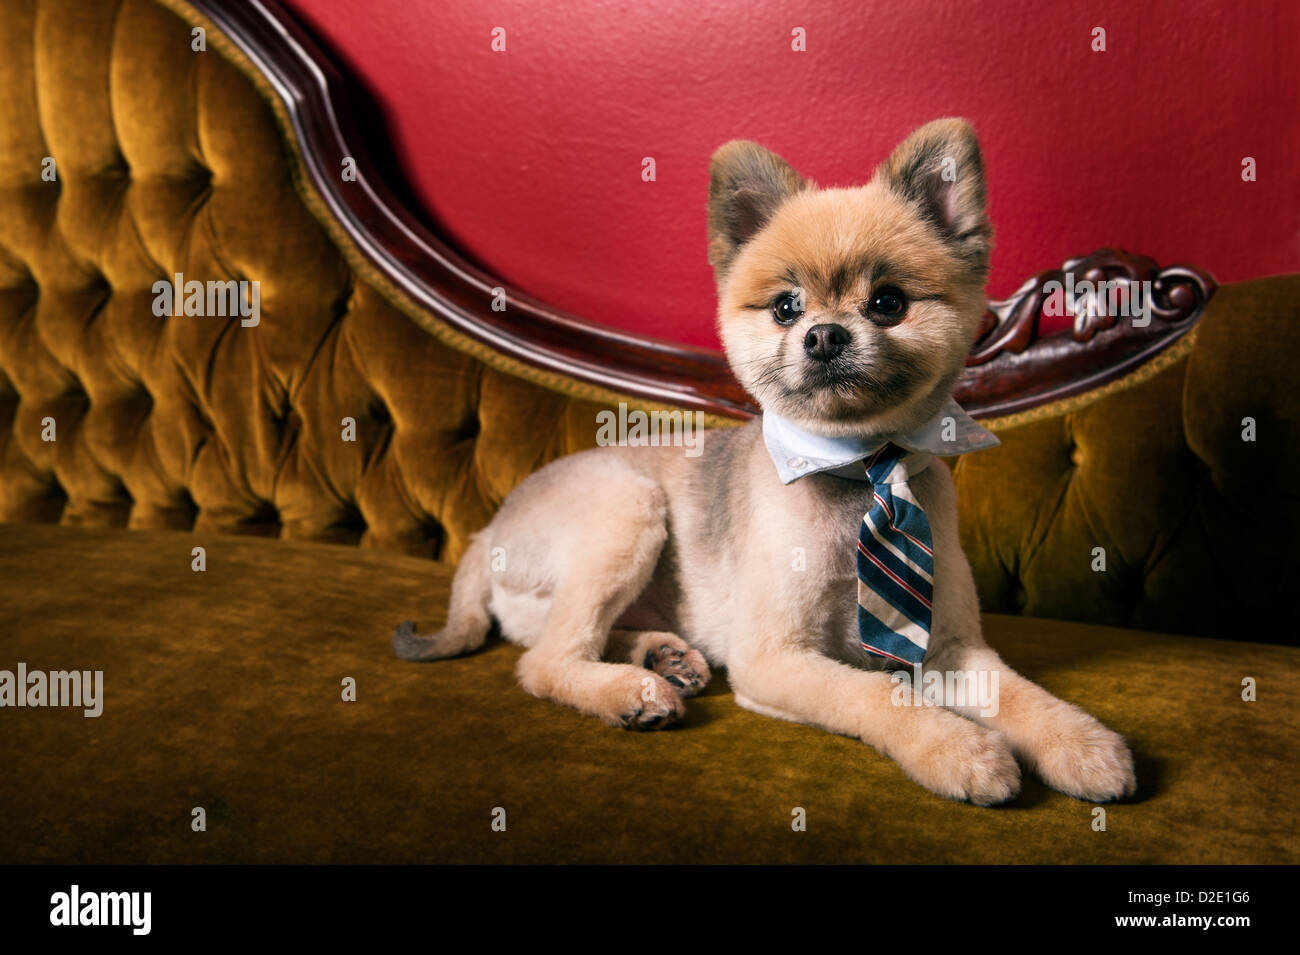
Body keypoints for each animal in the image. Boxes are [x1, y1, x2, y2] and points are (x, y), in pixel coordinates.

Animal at [395, 117, 1138, 805]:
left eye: (888, 303)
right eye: (785, 307)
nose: (825, 335)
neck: (859, 470)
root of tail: (489, 530)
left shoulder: (952, 648)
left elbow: (1018, 693)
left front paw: (1078, 740)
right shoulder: (776, 659)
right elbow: (878, 695)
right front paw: (956, 747)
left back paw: (661, 655)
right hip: (626, 507)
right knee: (548, 662)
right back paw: (633, 688)